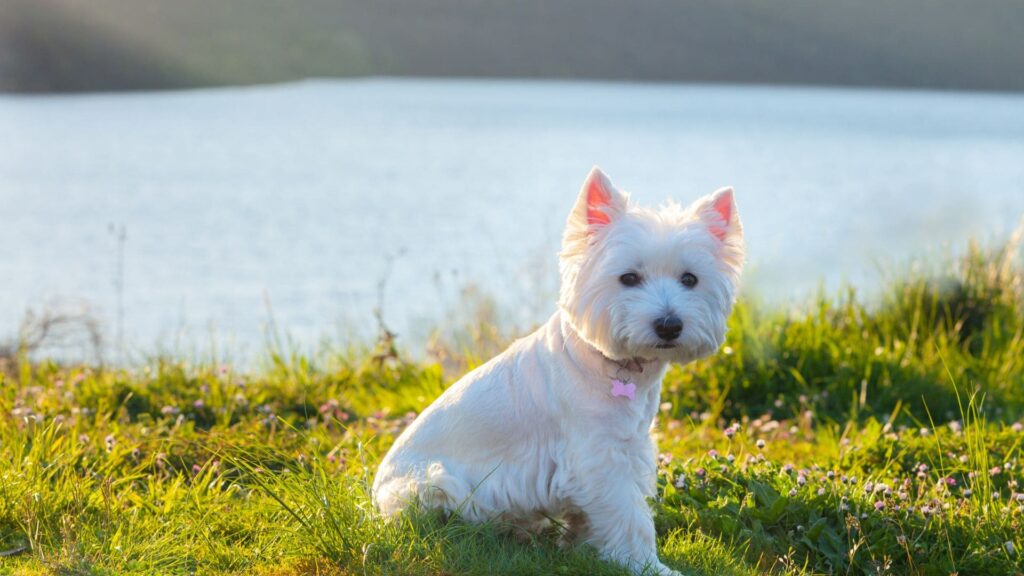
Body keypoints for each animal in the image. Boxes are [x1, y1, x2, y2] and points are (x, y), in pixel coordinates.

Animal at [374, 165, 745, 569]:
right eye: (629, 277)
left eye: (690, 279)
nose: (669, 325)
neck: (610, 365)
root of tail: (375, 493)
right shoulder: (599, 455)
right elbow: (630, 517)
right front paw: (647, 567)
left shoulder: (625, 448)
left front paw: (582, 547)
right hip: (431, 483)